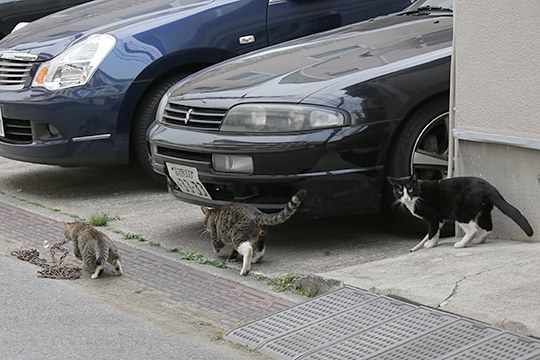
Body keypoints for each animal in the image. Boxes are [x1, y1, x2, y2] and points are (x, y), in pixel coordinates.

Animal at [388, 174, 532, 252]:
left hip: (460, 211)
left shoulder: (433, 217)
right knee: (488, 227)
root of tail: (487, 185)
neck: (418, 196)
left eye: (410, 190)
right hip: (483, 211)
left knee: (473, 230)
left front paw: (429, 244)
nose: (406, 197)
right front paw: (430, 242)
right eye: (400, 191)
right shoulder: (439, 219)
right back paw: (478, 240)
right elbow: (436, 231)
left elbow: (432, 231)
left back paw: (461, 244)